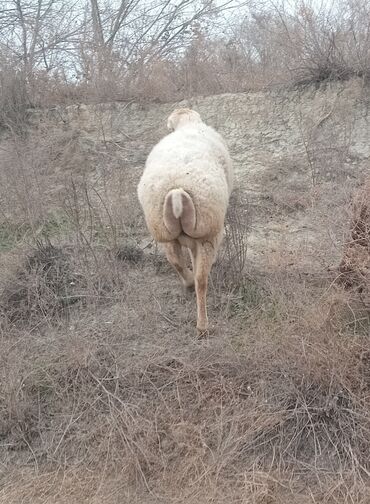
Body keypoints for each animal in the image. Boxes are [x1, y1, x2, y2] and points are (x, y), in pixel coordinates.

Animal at [137, 107, 233, 334]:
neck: (187, 124)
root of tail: (177, 193)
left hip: (162, 229)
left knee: (175, 260)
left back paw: (188, 285)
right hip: (209, 231)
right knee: (201, 279)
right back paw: (203, 324)